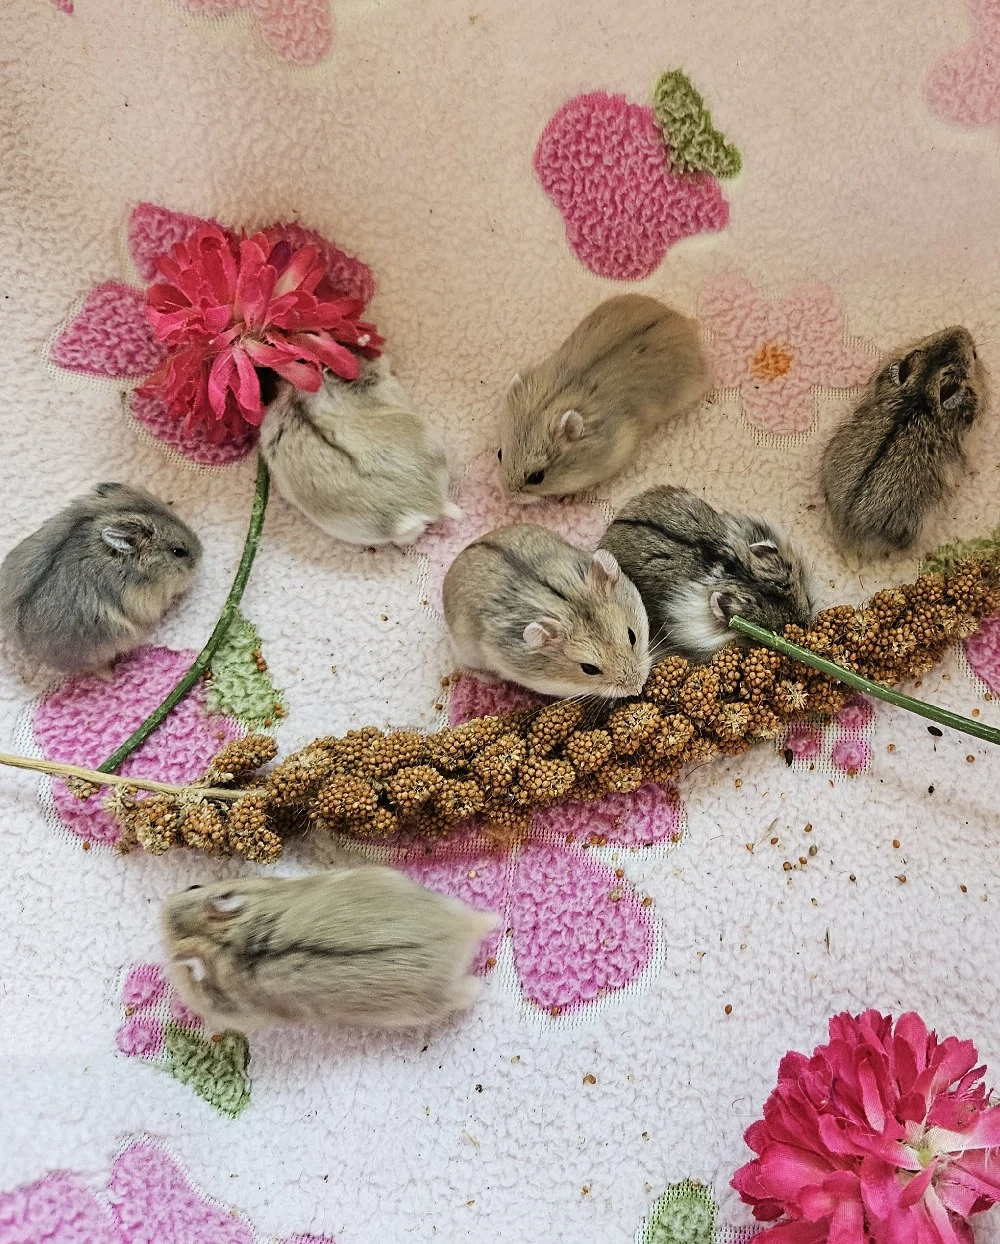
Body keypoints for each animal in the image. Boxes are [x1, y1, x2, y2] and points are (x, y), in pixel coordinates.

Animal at [442, 523, 651, 699]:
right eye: (588, 669)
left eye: (632, 636)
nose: (637, 688)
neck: (566, 603)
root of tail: (461, 554)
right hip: (466, 651)